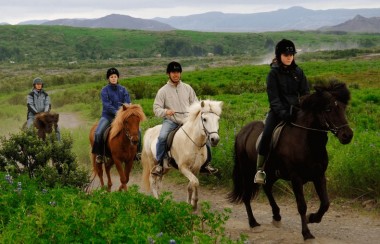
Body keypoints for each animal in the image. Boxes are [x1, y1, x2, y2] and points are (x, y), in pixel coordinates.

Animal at [226, 80, 354, 240]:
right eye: (328, 109)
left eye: (343, 107)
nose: (347, 135)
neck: (308, 142)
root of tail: (242, 132)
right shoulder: (296, 178)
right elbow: (302, 206)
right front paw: (306, 233)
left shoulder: (319, 175)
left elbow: (325, 203)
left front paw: (312, 218)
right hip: (247, 171)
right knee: (246, 196)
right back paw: (254, 224)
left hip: (271, 172)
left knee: (267, 188)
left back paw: (276, 216)